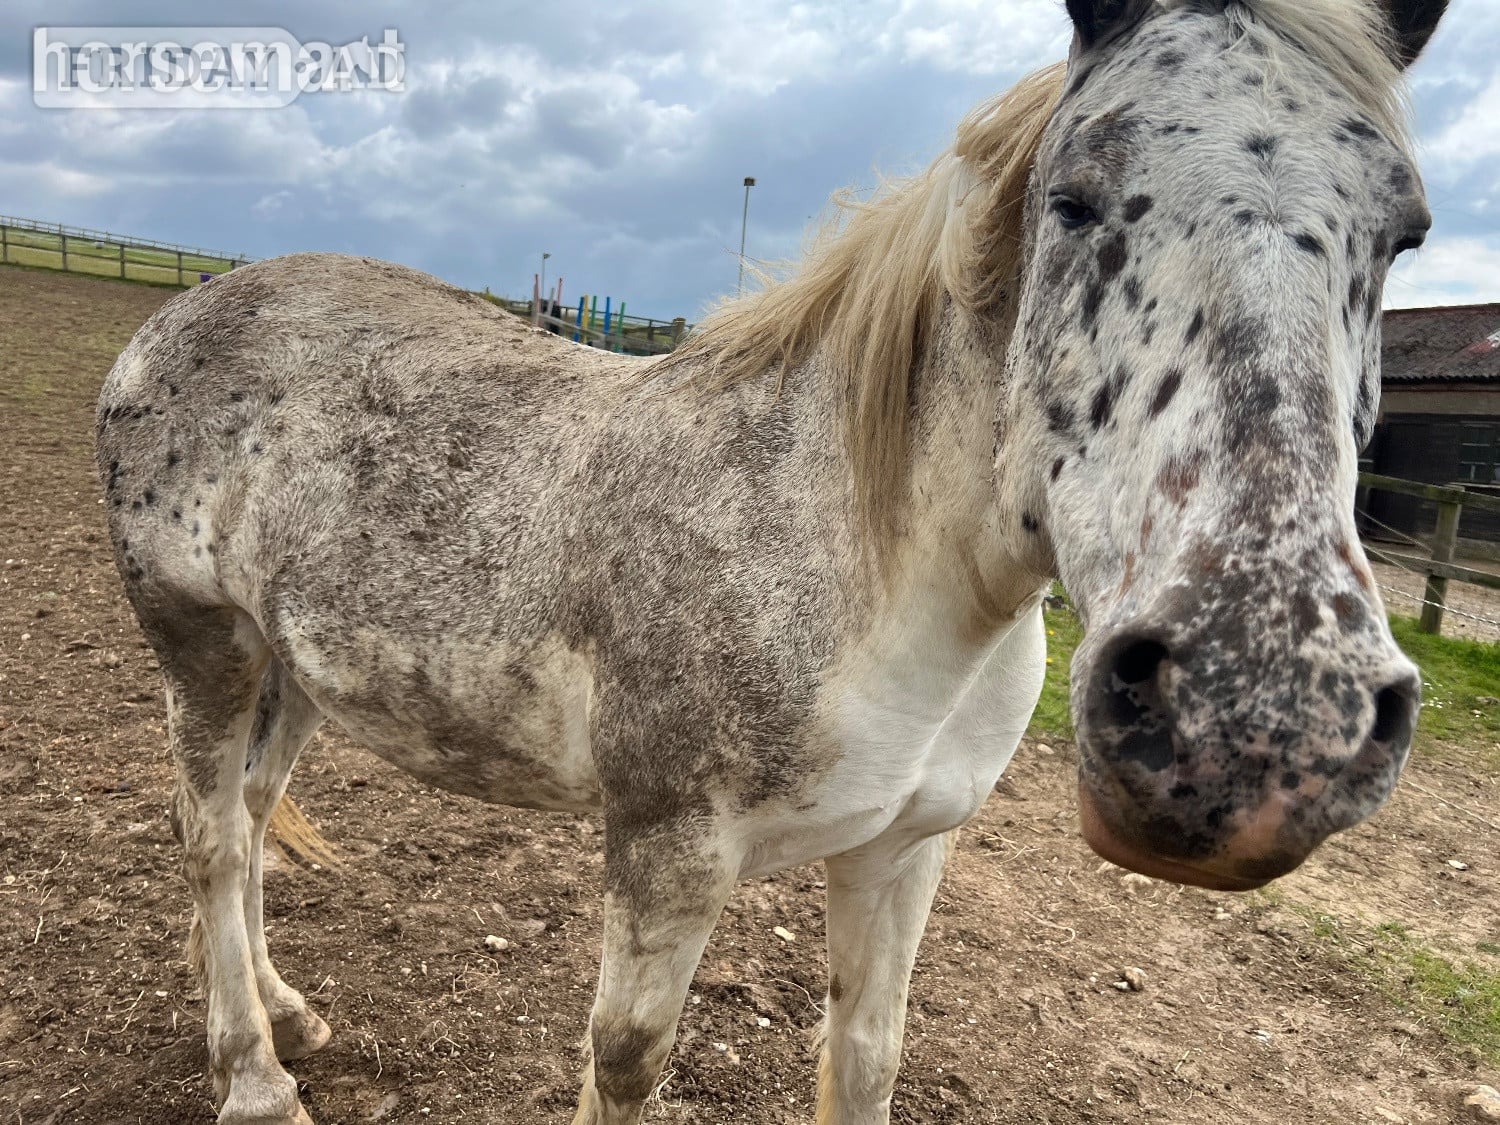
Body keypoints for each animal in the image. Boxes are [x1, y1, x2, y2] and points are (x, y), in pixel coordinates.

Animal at [95, 0, 1447, 1120]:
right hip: (202, 648)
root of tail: (177, 318)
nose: (1258, 724)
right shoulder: (668, 860)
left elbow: (866, 1054)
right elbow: (625, 1061)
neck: (862, 566)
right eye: (1074, 197)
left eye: (1407, 236)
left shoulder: (903, 854)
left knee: (252, 818)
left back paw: (282, 1013)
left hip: (294, 667)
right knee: (209, 837)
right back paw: (254, 1079)